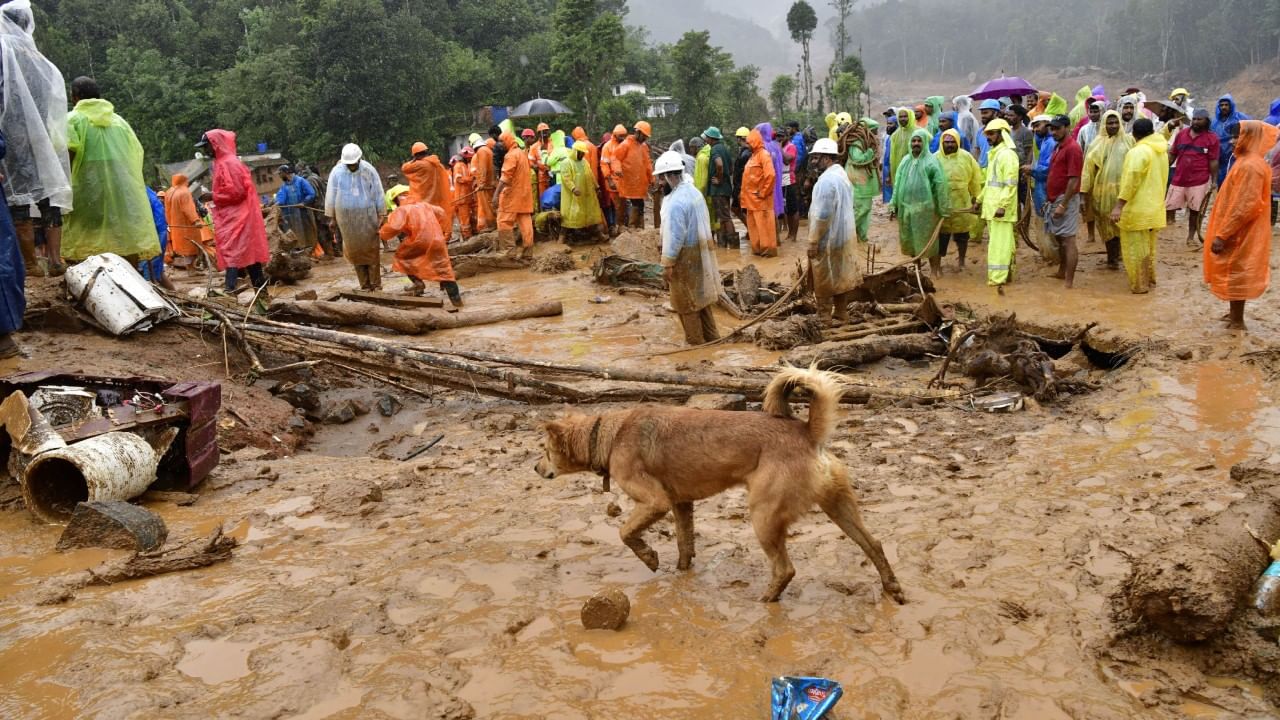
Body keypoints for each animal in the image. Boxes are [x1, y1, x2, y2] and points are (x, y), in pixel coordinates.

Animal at [535, 363, 906, 599]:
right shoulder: (681, 504)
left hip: (764, 515)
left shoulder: (655, 502)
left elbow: (626, 533)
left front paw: (649, 557)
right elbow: (685, 545)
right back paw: (892, 588)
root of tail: (806, 433)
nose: (536, 469)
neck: (607, 435)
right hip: (838, 505)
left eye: (544, 451)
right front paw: (681, 574)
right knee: (874, 544)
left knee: (785, 569)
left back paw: (766, 601)